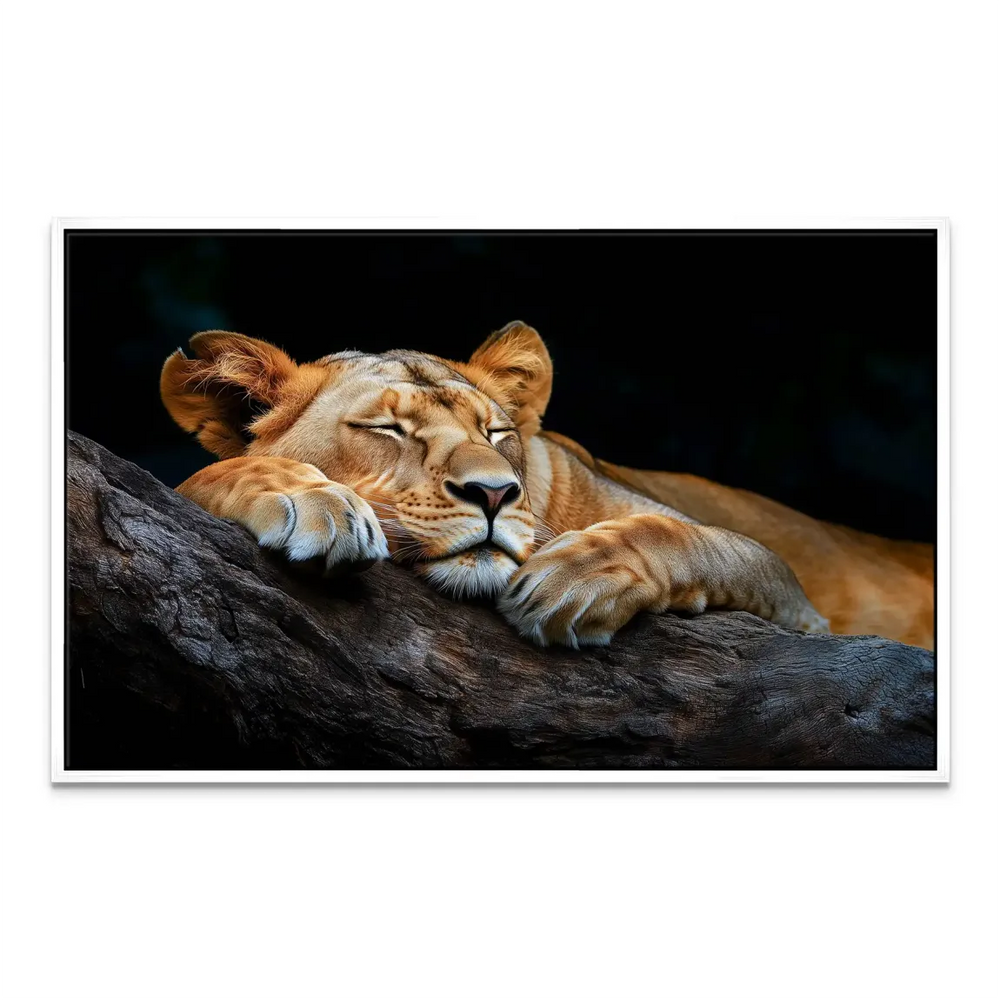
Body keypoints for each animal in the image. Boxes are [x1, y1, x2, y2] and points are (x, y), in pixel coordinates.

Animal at [160, 321, 934, 650]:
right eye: (387, 429)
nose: (494, 494)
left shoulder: (799, 606)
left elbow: (689, 537)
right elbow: (202, 473)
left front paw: (577, 580)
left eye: (498, 432)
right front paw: (309, 497)